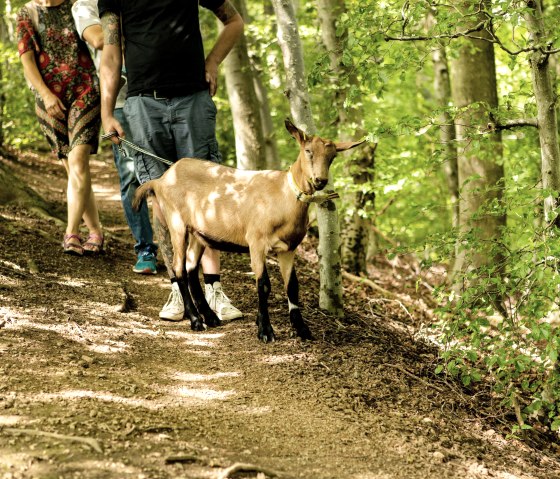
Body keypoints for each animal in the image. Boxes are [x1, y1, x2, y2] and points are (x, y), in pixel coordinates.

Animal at [134, 118, 366, 344]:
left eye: (333, 156)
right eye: (308, 150)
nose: (320, 181)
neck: (283, 194)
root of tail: (161, 179)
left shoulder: (288, 248)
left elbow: (292, 286)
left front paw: (302, 329)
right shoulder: (256, 241)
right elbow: (263, 285)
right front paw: (265, 330)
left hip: (199, 232)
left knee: (191, 267)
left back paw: (209, 317)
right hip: (176, 222)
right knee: (179, 269)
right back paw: (196, 320)